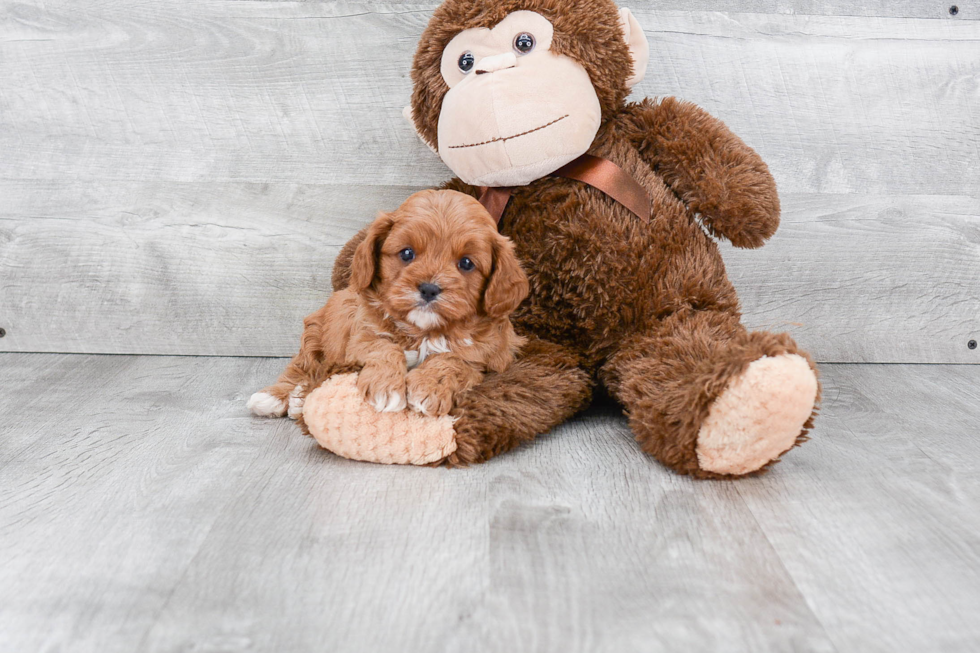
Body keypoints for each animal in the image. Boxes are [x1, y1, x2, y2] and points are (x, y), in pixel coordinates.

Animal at [249, 191, 532, 420]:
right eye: (407, 253)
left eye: (466, 263)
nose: (429, 288)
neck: (423, 332)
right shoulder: (361, 335)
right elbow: (384, 347)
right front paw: (385, 388)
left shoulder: (489, 357)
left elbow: (451, 359)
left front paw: (428, 388)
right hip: (316, 332)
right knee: (301, 365)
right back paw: (276, 397)